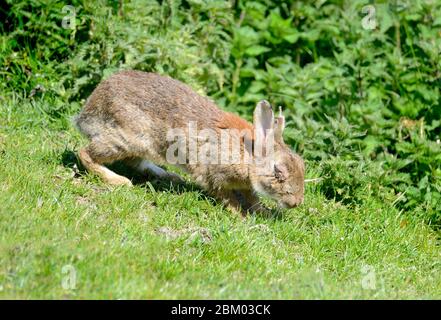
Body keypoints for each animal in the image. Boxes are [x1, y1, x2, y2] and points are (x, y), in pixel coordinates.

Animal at [75, 71, 302, 214]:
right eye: (278, 172)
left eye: (302, 165)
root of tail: (88, 112)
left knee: (135, 161)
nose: (296, 203)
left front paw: (263, 211)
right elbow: (227, 196)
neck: (247, 154)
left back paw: (169, 175)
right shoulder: (214, 175)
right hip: (125, 139)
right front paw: (241, 215)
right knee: (85, 153)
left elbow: (253, 198)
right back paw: (119, 180)